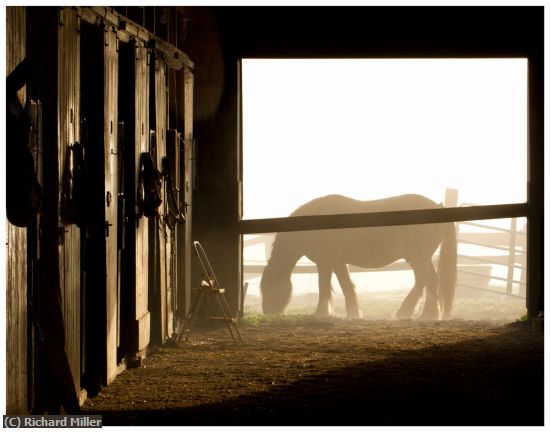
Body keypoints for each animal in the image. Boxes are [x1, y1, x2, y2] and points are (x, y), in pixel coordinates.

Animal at [260, 194, 460, 318]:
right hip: (417, 258)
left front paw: (321, 313)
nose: (268, 312)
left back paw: (428, 315)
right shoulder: (338, 263)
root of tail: (438, 207)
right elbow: (346, 286)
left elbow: (323, 286)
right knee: (422, 282)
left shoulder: (325, 263)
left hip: (420, 257)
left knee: (431, 281)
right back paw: (405, 312)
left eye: (270, 286)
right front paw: (354, 313)